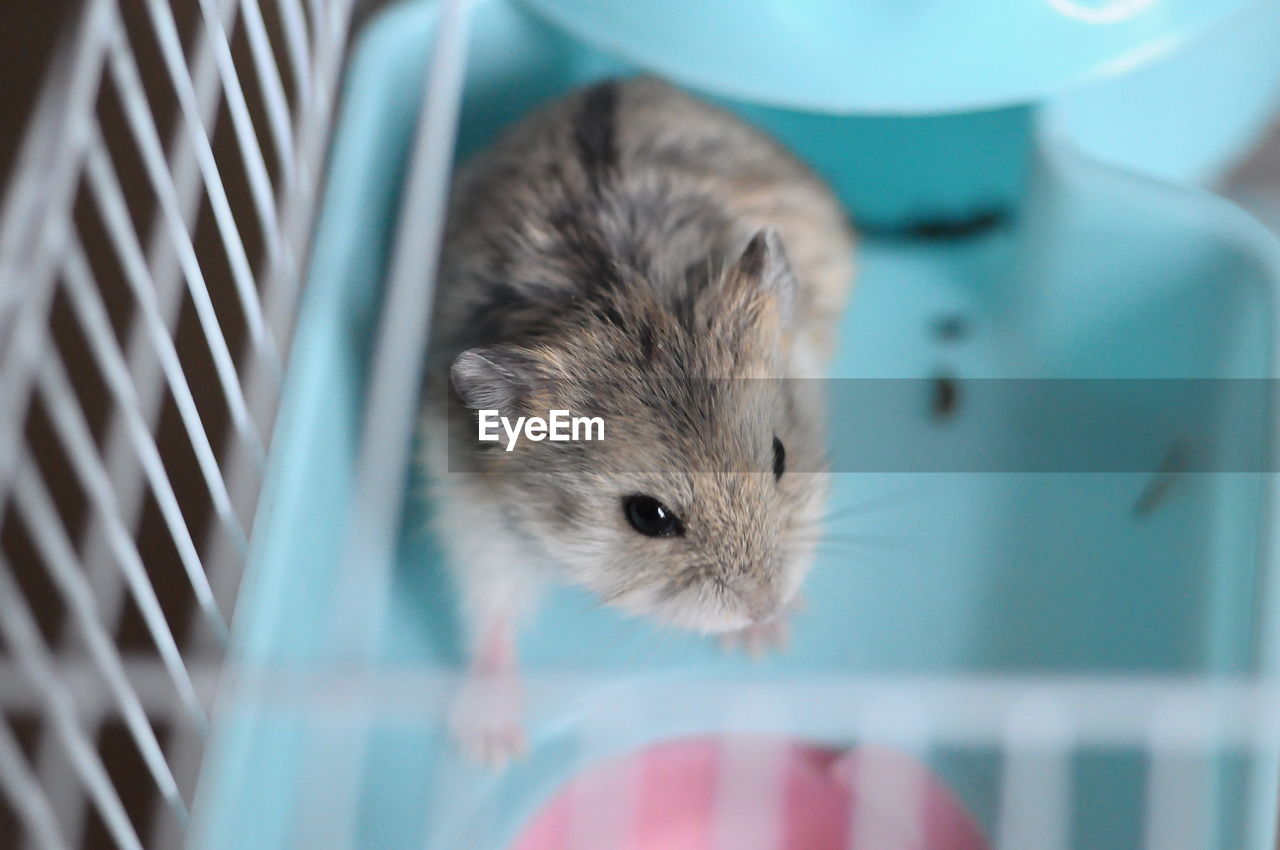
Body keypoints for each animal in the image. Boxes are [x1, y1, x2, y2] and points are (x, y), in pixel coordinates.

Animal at [422, 76, 849, 757]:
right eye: (647, 517)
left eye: (781, 456)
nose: (763, 607)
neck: (623, 296)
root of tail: (605, 83)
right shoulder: (475, 512)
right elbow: (491, 609)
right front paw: (490, 749)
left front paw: (764, 644)